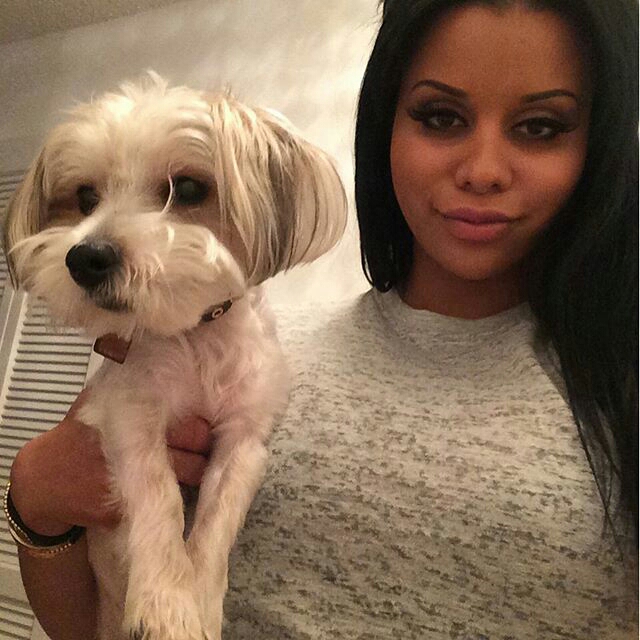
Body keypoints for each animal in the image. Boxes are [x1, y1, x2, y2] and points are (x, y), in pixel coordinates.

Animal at [4, 73, 347, 639]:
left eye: (186, 189)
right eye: (85, 196)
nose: (86, 258)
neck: (195, 338)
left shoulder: (244, 440)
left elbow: (215, 523)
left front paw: (199, 600)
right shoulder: (128, 414)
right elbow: (158, 492)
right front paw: (167, 602)